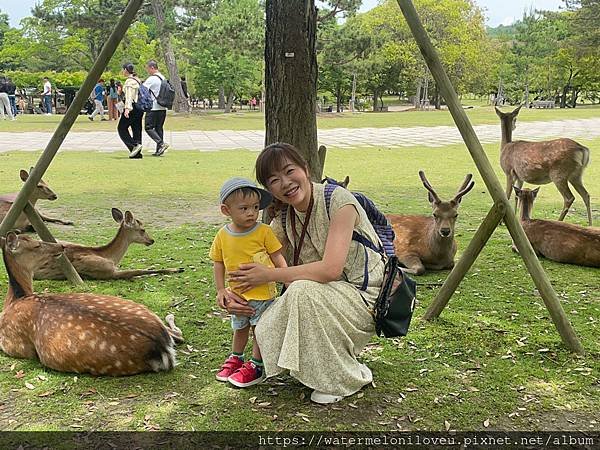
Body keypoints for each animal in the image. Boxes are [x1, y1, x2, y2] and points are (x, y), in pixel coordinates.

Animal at [0, 232, 183, 376]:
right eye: (36, 245)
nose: (61, 246)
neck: (15, 300)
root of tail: (162, 346)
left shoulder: (13, 345)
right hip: (142, 309)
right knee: (178, 335)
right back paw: (170, 315)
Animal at [32, 209, 183, 280]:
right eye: (142, 229)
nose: (151, 240)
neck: (110, 258)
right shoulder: (107, 272)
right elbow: (136, 271)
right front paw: (177, 269)